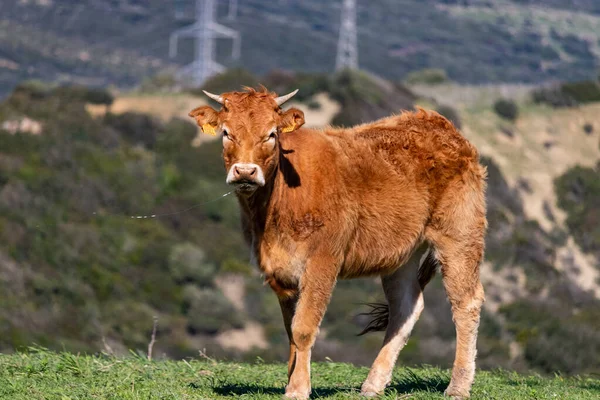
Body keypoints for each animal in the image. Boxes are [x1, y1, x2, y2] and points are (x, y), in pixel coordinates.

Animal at [189, 88, 488, 400]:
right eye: (226, 133)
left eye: (271, 134)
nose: (245, 172)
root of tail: (439, 124)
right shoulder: (280, 270)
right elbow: (290, 330)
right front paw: (291, 381)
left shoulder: (323, 260)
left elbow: (303, 328)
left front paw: (298, 388)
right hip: (402, 253)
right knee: (406, 307)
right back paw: (373, 384)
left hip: (460, 235)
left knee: (466, 303)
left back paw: (458, 386)